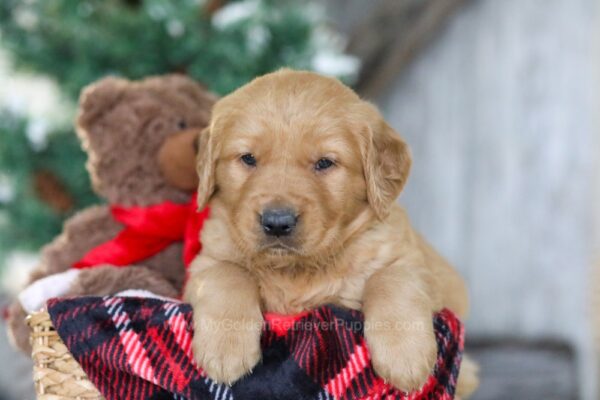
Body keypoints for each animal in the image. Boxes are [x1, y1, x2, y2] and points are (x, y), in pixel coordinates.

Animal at [183, 69, 478, 396]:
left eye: (325, 163)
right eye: (248, 158)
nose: (277, 222)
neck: (295, 270)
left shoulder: (413, 263)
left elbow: (392, 278)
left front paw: (405, 358)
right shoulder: (205, 260)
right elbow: (227, 273)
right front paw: (225, 349)